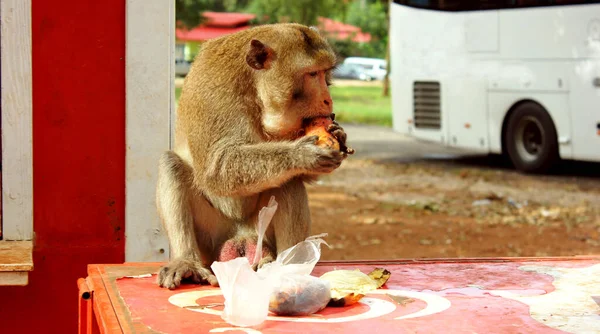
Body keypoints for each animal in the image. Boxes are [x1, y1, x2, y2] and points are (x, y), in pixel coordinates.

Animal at [156, 22, 352, 290]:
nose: (328, 100)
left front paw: (338, 134)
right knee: (171, 165)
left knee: (288, 181)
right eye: (312, 74)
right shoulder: (214, 94)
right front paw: (301, 154)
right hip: (210, 237)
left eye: (325, 73)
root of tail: (240, 238)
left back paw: (285, 266)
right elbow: (217, 167)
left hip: (259, 233)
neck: (255, 91)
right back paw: (186, 261)